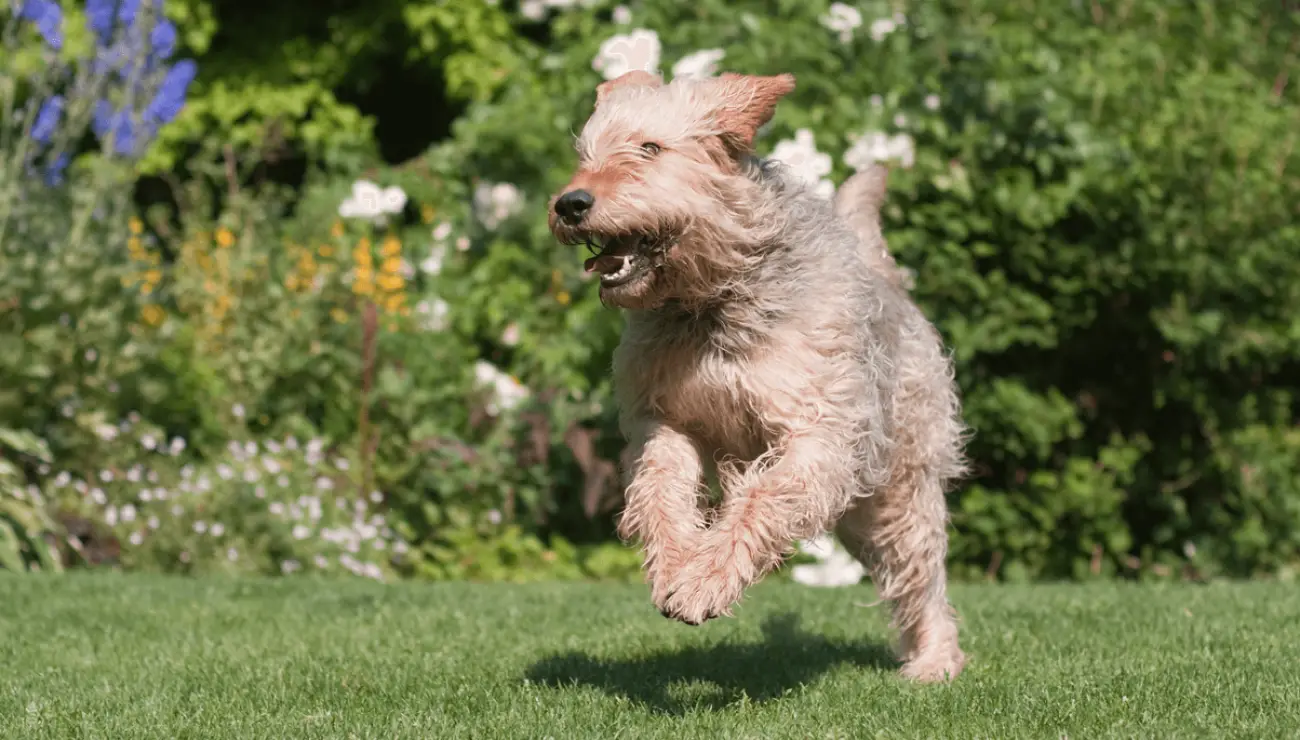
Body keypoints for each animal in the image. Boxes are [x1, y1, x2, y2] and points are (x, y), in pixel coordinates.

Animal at [546, 70, 967, 681]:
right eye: (586, 153)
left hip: (899, 488)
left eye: (650, 148)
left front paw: (704, 583)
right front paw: (675, 565)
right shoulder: (666, 421)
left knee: (920, 574)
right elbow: (660, 491)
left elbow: (761, 499)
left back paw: (934, 660)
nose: (570, 203)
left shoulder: (819, 433)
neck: (713, 303)